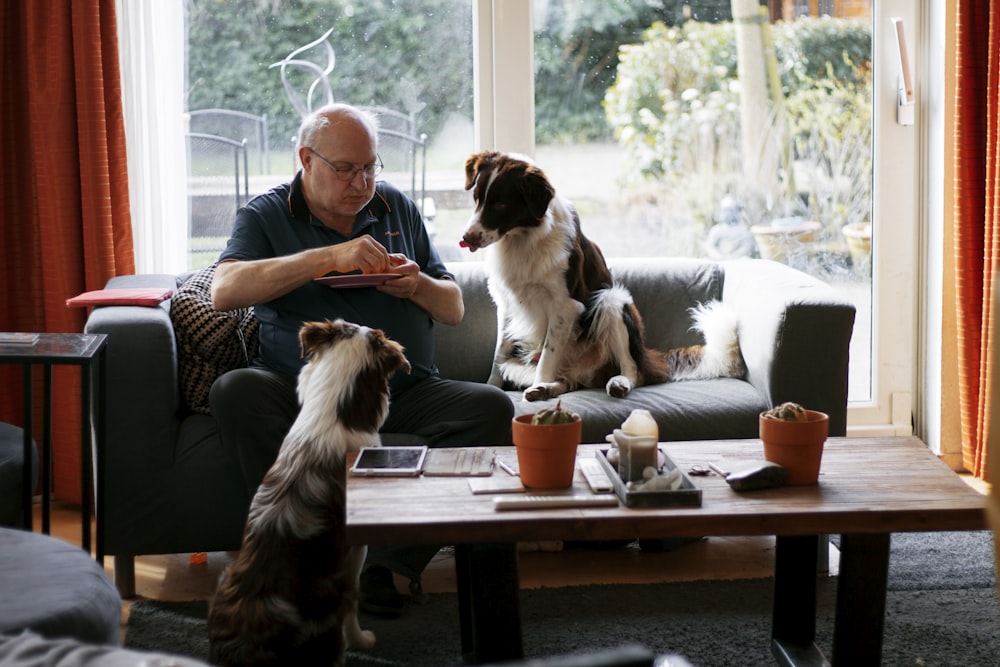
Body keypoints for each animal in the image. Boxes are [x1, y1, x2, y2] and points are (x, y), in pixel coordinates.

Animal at [460, 151, 744, 402]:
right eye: (476, 198)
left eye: (501, 204)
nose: (467, 238)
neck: (522, 239)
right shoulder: (506, 304)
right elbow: (499, 355)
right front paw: (492, 387)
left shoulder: (565, 306)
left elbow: (547, 357)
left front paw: (538, 390)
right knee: (568, 381)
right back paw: (547, 389)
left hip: (612, 301)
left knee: (633, 370)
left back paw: (616, 383)